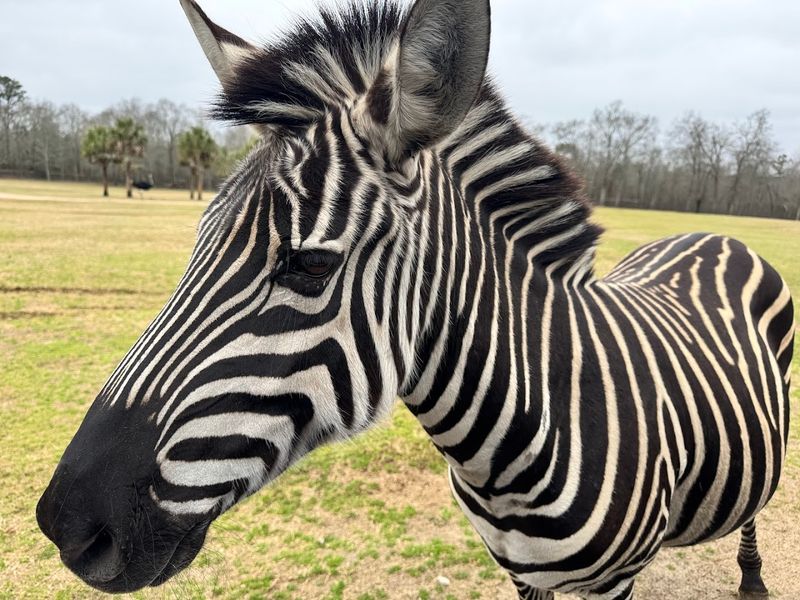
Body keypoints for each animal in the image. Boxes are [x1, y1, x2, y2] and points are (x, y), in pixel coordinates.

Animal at [36, 0, 794, 598]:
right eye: (196, 244)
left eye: (310, 265)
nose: (65, 526)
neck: (508, 451)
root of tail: (713, 232)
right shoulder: (524, 576)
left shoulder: (610, 585)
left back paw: (753, 576)